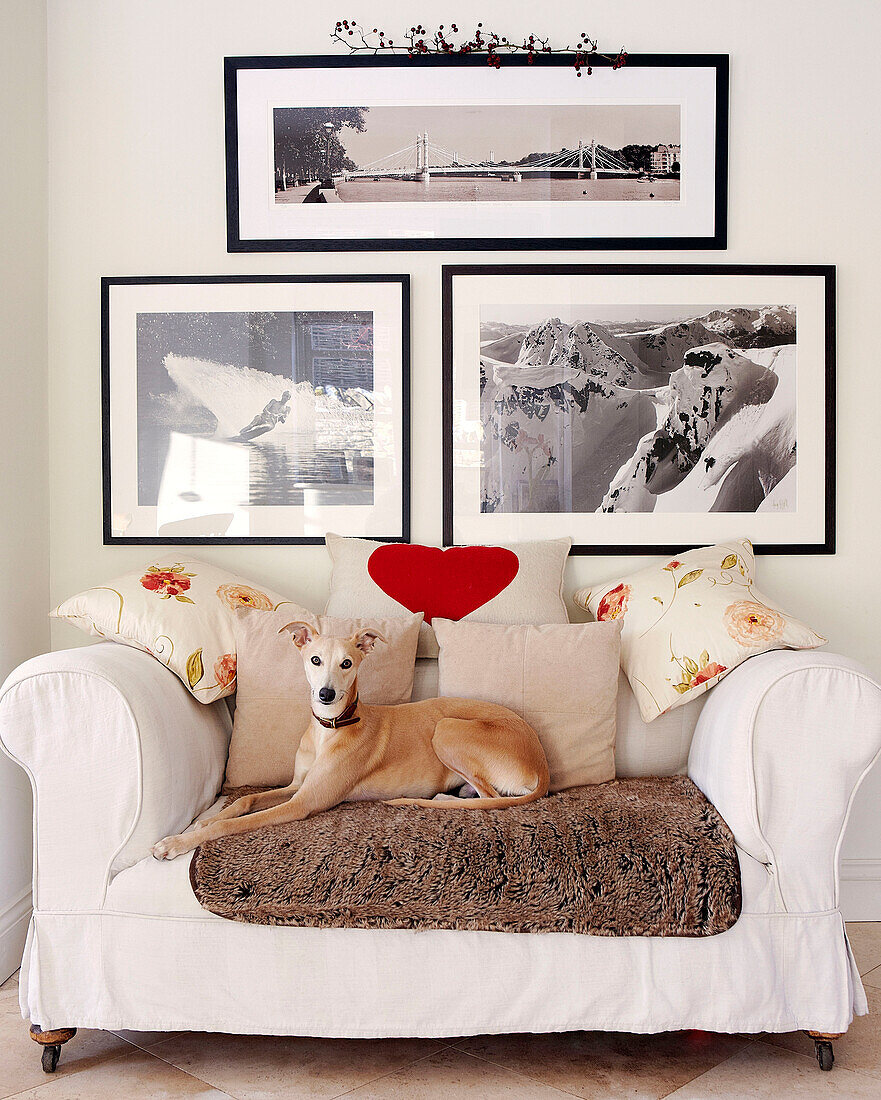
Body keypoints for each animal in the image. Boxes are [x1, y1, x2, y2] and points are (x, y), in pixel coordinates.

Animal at [151, 624, 549, 862]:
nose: (326, 695)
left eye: (347, 663)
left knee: (491, 799)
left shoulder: (303, 802)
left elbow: (229, 826)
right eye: (314, 659)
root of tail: (542, 765)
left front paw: (175, 843)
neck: (330, 728)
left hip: (447, 728)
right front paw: (199, 824)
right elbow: (244, 800)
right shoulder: (297, 786)